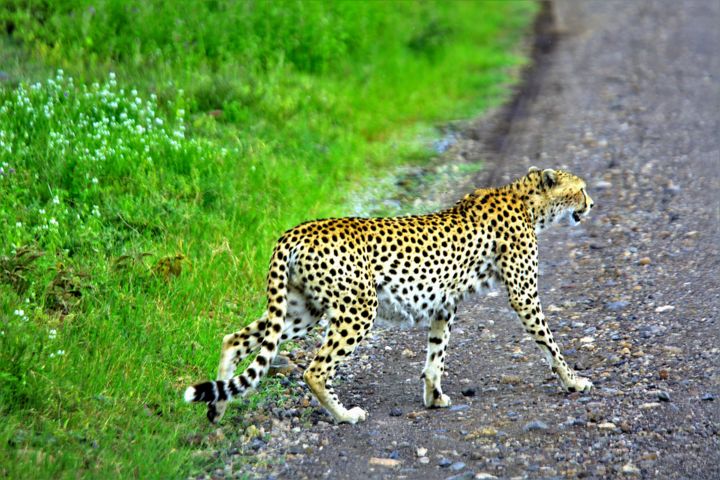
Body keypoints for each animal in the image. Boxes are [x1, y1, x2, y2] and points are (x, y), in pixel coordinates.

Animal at [186, 168, 596, 424]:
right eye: (581, 189)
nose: (591, 204)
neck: (527, 201)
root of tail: (296, 230)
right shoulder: (523, 295)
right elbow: (550, 343)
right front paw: (574, 381)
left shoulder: (443, 304)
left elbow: (435, 355)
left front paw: (434, 398)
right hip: (356, 309)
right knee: (315, 369)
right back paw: (345, 415)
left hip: (303, 309)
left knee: (234, 339)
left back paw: (218, 410)